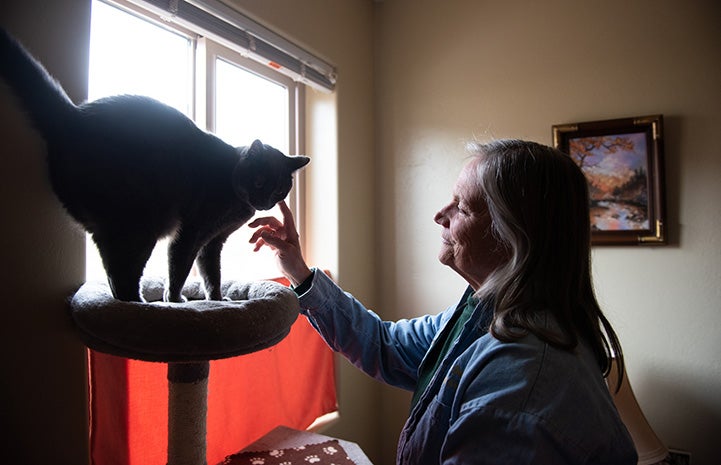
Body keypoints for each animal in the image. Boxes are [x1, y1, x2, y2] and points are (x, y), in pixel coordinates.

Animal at [0, 30, 306, 302]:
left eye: (279, 190)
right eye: (259, 181)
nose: (265, 202)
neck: (236, 201)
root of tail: (72, 117)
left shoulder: (213, 242)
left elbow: (211, 274)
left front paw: (219, 300)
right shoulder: (192, 231)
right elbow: (180, 266)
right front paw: (176, 299)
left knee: (115, 272)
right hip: (143, 222)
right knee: (123, 276)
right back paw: (141, 304)